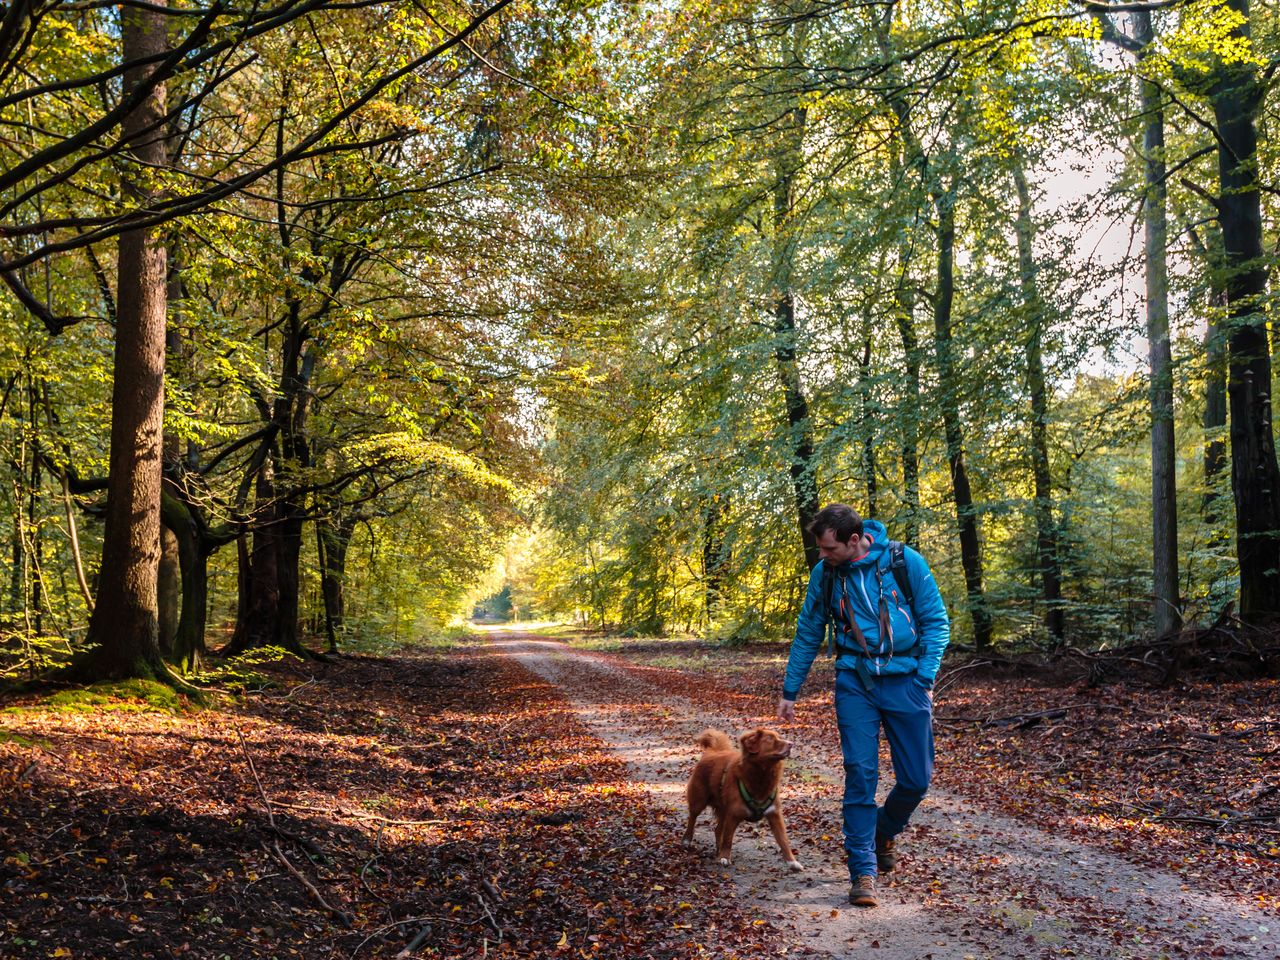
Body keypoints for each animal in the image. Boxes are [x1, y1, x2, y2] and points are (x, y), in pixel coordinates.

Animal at [680, 727, 798, 870]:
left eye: (779, 737)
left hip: (724, 809)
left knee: (717, 830)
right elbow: (728, 839)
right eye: (770, 739)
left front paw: (792, 861)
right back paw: (687, 840)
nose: (791, 744)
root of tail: (712, 752)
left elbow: (783, 840)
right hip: (699, 800)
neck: (762, 775)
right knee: (693, 818)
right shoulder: (734, 814)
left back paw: (718, 851)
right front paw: (725, 857)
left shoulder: (774, 814)